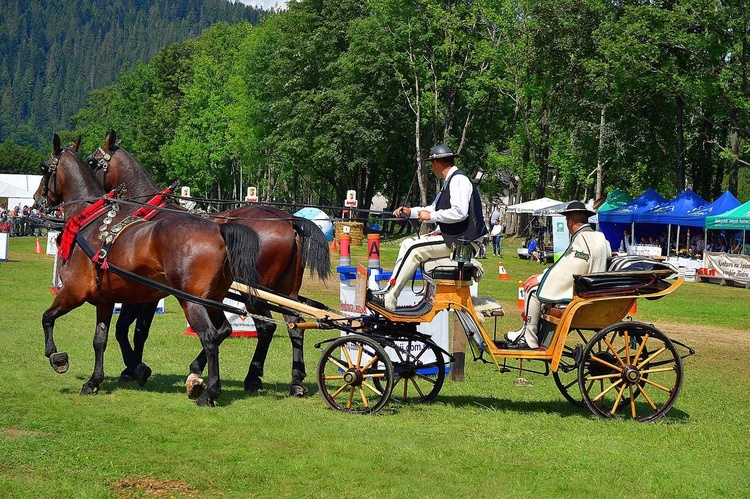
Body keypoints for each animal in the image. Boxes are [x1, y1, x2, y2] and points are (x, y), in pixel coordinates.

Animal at [36, 136, 264, 406]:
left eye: (43, 168)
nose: (37, 200)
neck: (89, 220)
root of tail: (218, 230)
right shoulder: (105, 299)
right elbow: (101, 339)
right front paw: (95, 381)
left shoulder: (74, 291)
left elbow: (48, 317)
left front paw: (56, 357)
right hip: (213, 299)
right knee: (224, 331)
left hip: (192, 301)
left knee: (210, 336)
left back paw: (208, 391)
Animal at [86, 131, 330, 396]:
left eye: (91, 161)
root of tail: (289, 220)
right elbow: (130, 329)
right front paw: (133, 368)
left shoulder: (146, 291)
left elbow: (132, 330)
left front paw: (134, 368)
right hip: (287, 290)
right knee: (295, 324)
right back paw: (295, 381)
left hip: (254, 292)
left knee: (265, 327)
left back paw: (247, 376)